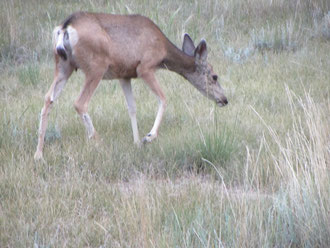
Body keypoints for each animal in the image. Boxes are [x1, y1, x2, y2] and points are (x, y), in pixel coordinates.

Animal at [34, 11, 228, 160]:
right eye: (214, 76)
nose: (224, 99)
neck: (163, 51)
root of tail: (65, 27)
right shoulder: (145, 67)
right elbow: (164, 99)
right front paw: (148, 137)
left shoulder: (124, 74)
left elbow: (132, 107)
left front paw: (136, 142)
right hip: (95, 66)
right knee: (79, 102)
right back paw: (98, 142)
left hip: (63, 65)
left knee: (48, 99)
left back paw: (39, 154)